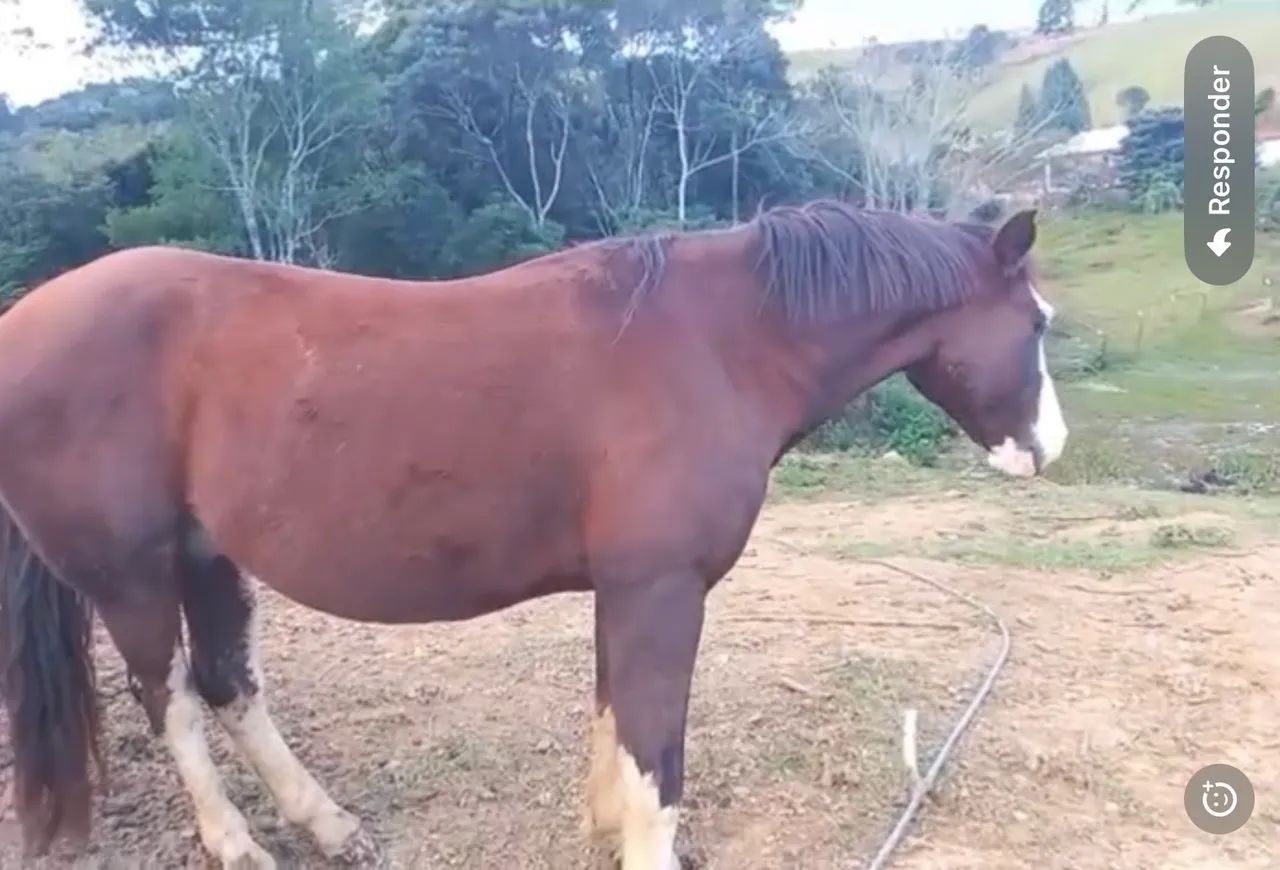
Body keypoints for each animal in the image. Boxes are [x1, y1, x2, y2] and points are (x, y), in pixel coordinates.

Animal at [0, 199, 1067, 869]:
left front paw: (601, 829)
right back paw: (239, 845)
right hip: (132, 575)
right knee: (171, 700)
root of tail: (24, 323)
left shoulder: (627, 590)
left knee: (228, 686)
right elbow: (655, 751)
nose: (1047, 446)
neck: (719, 345)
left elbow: (612, 718)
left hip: (207, 555)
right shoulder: (661, 590)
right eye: (1040, 323)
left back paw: (330, 827)